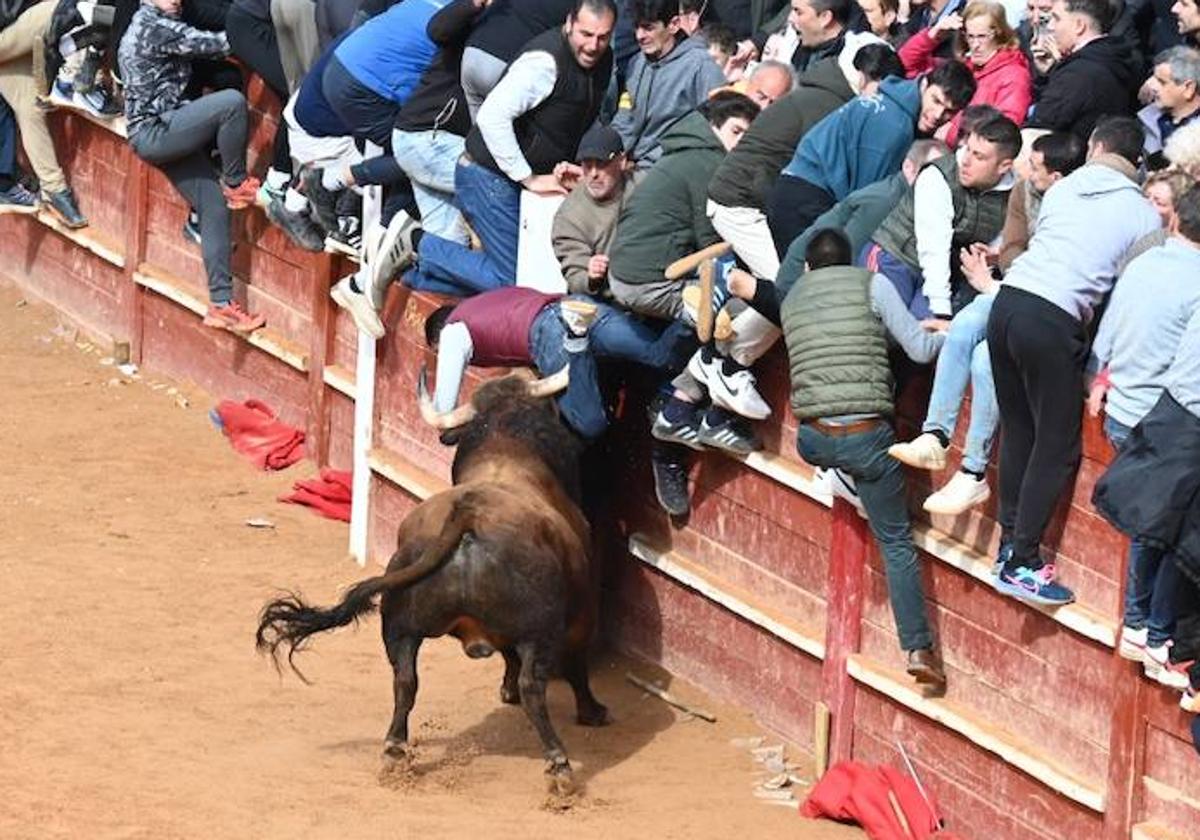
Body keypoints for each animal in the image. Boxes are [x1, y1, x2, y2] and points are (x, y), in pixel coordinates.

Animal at [254, 369, 609, 792]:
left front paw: (505, 691)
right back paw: (559, 766)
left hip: (399, 626)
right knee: (534, 688)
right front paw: (591, 711)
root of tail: (467, 514)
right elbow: (575, 664)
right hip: (539, 631)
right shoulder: (582, 612)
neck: (505, 452)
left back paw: (394, 751)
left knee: (405, 681)